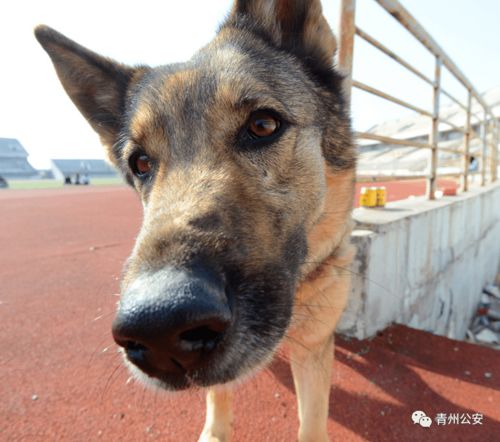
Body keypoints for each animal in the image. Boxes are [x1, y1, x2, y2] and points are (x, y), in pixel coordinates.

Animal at [35, 1, 356, 440]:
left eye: (263, 125)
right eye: (140, 163)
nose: (158, 329)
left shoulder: (314, 348)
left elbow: (312, 421)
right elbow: (218, 397)